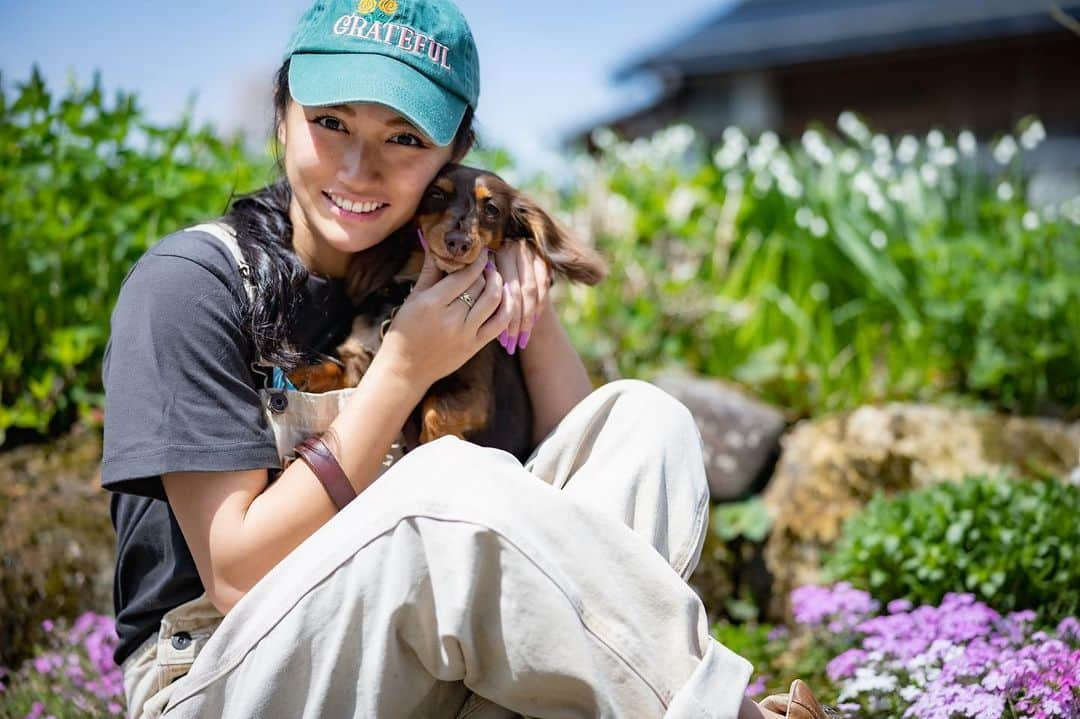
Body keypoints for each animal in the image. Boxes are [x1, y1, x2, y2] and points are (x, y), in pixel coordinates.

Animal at [287, 161, 609, 459]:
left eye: (492, 208)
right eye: (436, 194)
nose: (458, 242)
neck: (409, 294)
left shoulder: (473, 388)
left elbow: (436, 411)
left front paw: (432, 444)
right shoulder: (360, 366)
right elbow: (328, 367)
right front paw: (294, 374)